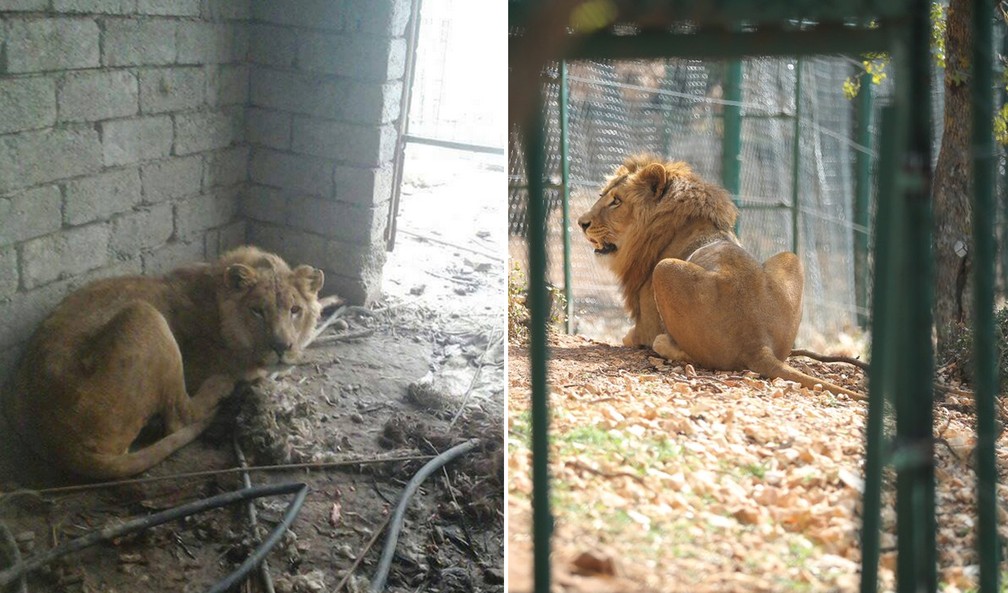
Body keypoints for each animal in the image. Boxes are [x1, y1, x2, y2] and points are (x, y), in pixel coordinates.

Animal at [2, 246, 325, 480]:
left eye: (295, 310)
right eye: (257, 311)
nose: (282, 347)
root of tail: (58, 442)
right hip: (145, 315)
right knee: (180, 417)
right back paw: (221, 386)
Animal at [577, 154, 861, 399]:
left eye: (616, 201)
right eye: (602, 195)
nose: (581, 222)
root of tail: (758, 342)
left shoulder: (646, 325)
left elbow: (629, 336)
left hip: (665, 269)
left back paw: (664, 345)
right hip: (791, 257)